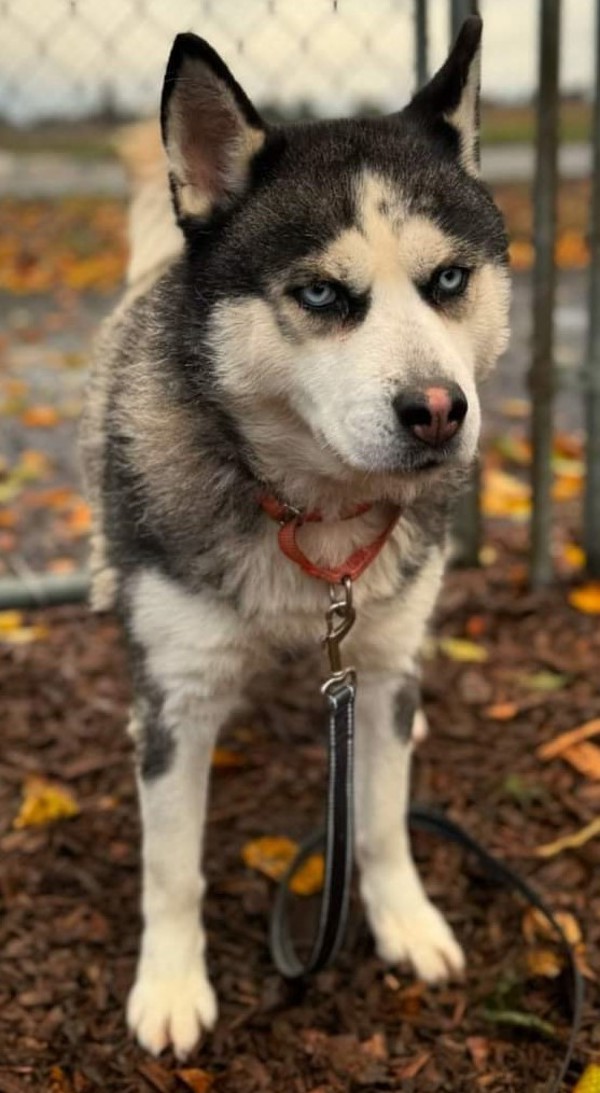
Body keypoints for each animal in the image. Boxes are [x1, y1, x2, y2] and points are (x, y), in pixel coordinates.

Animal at [81, 17, 507, 1058]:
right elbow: (172, 866)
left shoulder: (378, 667)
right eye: (320, 295)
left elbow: (383, 821)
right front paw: (171, 982)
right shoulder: (183, 692)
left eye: (449, 280)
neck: (312, 520)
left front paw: (405, 920)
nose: (438, 410)